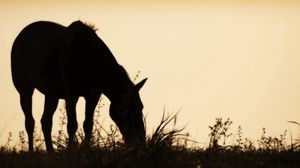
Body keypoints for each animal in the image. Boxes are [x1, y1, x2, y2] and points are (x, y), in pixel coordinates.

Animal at [11, 20, 147, 152]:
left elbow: (88, 124)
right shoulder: (71, 94)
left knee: (46, 121)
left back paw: (51, 152)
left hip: (51, 94)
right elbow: (72, 125)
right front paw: (71, 152)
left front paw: (86, 151)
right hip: (24, 88)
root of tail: (19, 38)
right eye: (126, 109)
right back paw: (31, 152)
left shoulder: (93, 95)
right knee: (30, 121)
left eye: (141, 107)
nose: (140, 141)